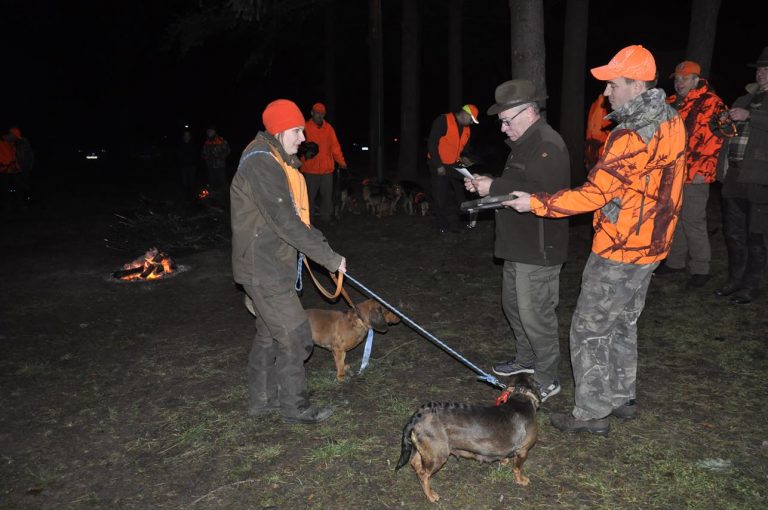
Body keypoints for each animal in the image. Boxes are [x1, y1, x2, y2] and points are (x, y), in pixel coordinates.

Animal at [396, 372, 540, 504]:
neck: (521, 396)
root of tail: (417, 416)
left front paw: (504, 461)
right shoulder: (523, 451)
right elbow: (517, 468)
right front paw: (521, 480)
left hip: (428, 450)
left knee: (415, 463)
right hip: (438, 454)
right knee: (423, 474)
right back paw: (431, 496)